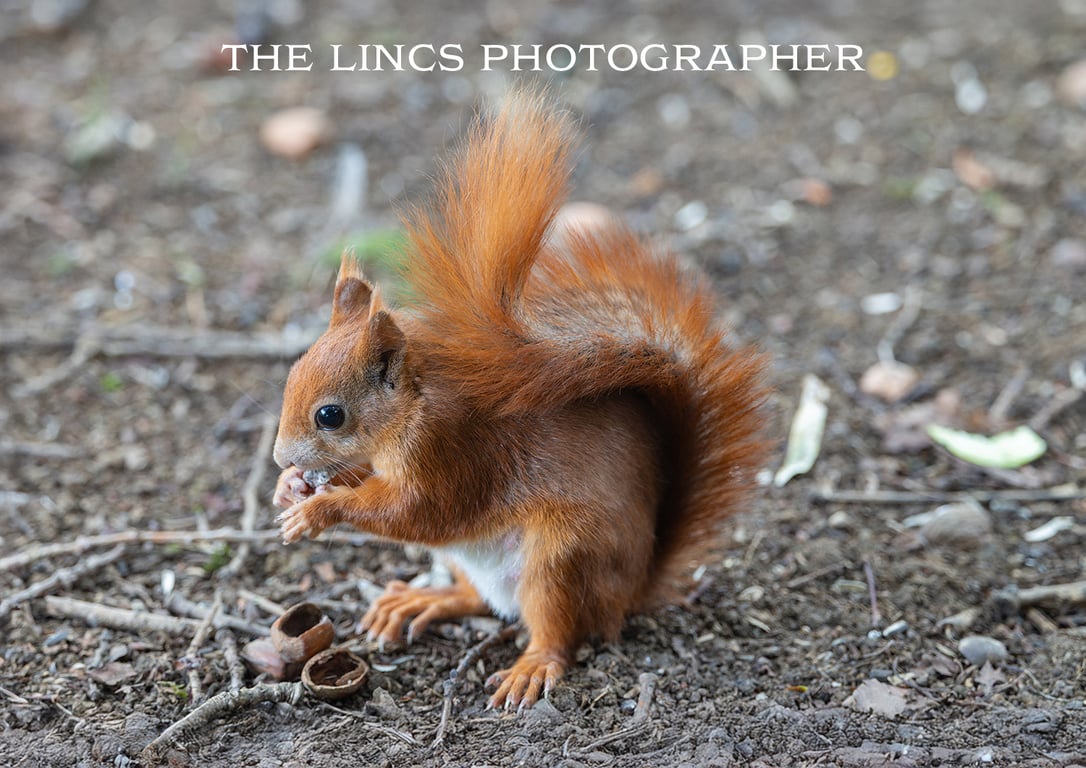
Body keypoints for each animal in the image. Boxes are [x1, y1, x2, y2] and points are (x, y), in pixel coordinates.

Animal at [271, 89, 769, 710]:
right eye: (291, 374)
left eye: (330, 415)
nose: (280, 456)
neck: (411, 406)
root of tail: (632, 590)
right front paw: (289, 488)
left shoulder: (452, 451)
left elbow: (417, 512)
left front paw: (317, 510)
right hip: (472, 559)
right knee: (479, 599)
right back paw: (425, 599)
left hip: (561, 559)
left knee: (557, 629)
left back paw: (531, 667)